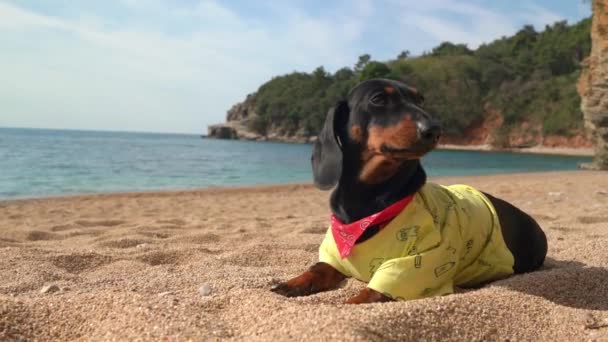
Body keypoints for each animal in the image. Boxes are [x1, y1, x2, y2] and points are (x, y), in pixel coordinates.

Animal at [270, 79, 548, 304]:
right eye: (378, 99)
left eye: (420, 100)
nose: (435, 129)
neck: (370, 201)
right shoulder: (334, 254)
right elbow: (318, 268)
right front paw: (291, 283)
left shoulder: (416, 265)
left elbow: (365, 295)